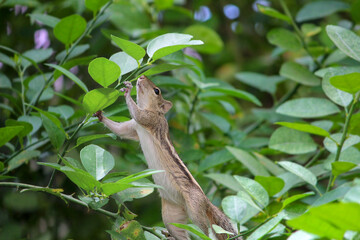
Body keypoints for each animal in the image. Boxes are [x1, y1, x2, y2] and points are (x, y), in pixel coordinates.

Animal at [93, 75, 242, 240]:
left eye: (157, 91)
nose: (142, 76)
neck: (151, 109)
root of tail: (206, 202)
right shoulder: (133, 128)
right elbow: (119, 130)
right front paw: (100, 115)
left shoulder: (149, 119)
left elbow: (137, 114)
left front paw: (127, 91)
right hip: (171, 216)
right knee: (181, 234)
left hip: (196, 210)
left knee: (205, 229)